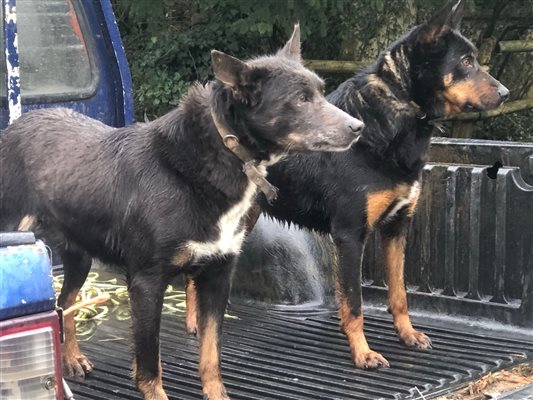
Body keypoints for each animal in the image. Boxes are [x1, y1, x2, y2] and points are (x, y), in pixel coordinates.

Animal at [0, 25, 366, 400]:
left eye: (320, 91)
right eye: (300, 99)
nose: (358, 127)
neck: (217, 157)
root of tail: (16, 125)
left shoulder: (218, 276)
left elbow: (211, 354)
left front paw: (217, 393)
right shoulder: (147, 283)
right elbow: (150, 364)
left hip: (79, 257)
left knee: (64, 303)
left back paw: (72, 358)